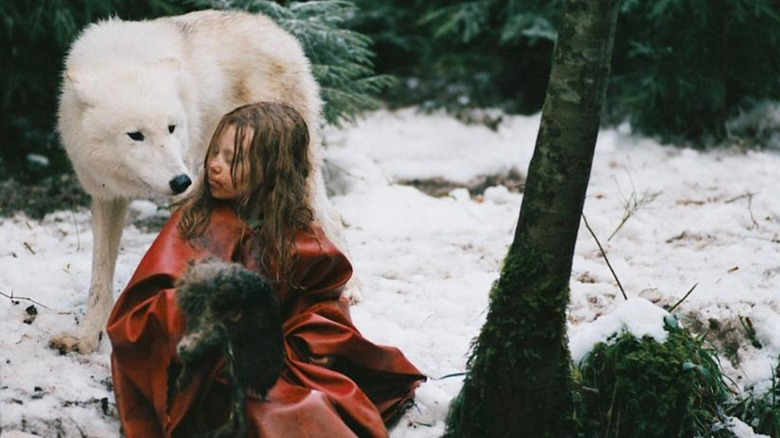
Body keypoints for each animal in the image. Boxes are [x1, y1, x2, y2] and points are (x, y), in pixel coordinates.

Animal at [54, 8, 356, 354]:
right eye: (135, 135)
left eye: (172, 127)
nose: (181, 181)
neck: (122, 58)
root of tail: (278, 28)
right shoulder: (107, 196)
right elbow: (100, 278)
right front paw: (86, 337)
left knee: (331, 217)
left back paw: (348, 289)